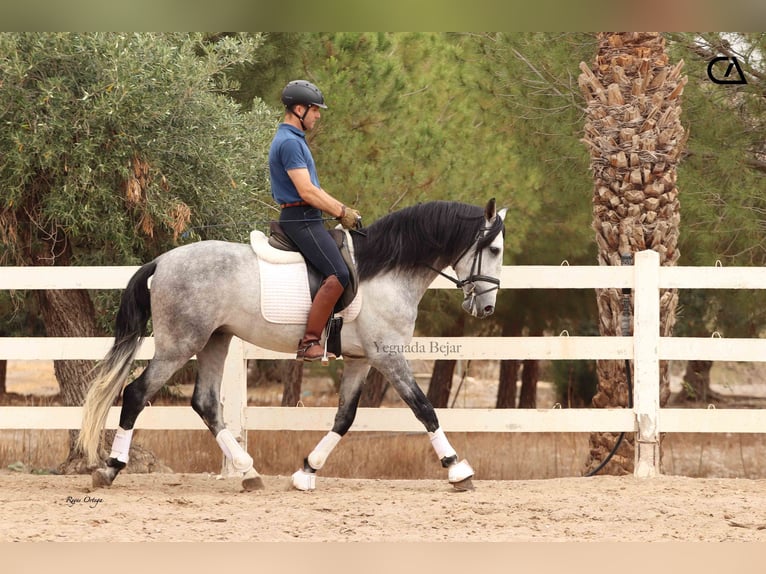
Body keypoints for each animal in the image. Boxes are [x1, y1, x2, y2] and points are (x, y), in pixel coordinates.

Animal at [78, 200, 508, 492]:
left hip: (216, 340)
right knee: (136, 393)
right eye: (495, 249)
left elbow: (345, 418)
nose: (486, 308)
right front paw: (457, 469)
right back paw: (111, 467)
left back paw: (249, 472)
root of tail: (162, 261)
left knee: (205, 403)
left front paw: (306, 471)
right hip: (179, 344)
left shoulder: (361, 360)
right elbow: (424, 409)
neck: (385, 271)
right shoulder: (388, 356)